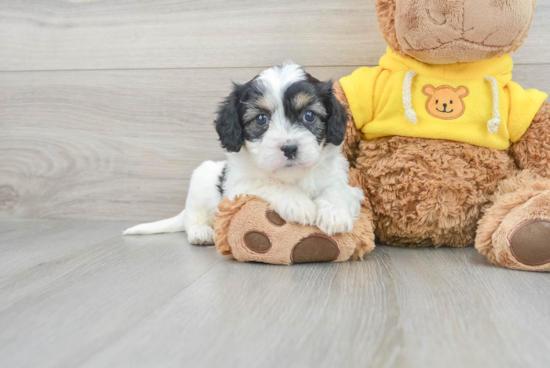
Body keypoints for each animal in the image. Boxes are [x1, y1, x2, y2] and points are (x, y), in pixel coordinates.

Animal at [125, 63, 366, 244]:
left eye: (309, 115)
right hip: (199, 182)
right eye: (261, 119)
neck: (292, 176)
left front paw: (335, 214)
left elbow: (337, 191)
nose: (289, 148)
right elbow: (267, 183)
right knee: (191, 220)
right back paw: (201, 232)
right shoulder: (238, 188)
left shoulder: (343, 183)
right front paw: (298, 203)